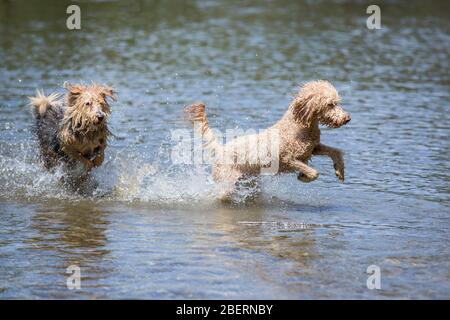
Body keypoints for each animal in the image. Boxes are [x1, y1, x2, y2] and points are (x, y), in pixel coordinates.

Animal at [185, 80, 352, 202]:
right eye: (330, 104)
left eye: (337, 102)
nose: (347, 119)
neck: (300, 126)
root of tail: (220, 149)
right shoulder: (288, 159)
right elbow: (314, 172)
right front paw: (303, 177)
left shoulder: (313, 148)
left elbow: (336, 151)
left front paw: (339, 171)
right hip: (226, 183)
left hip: (250, 181)